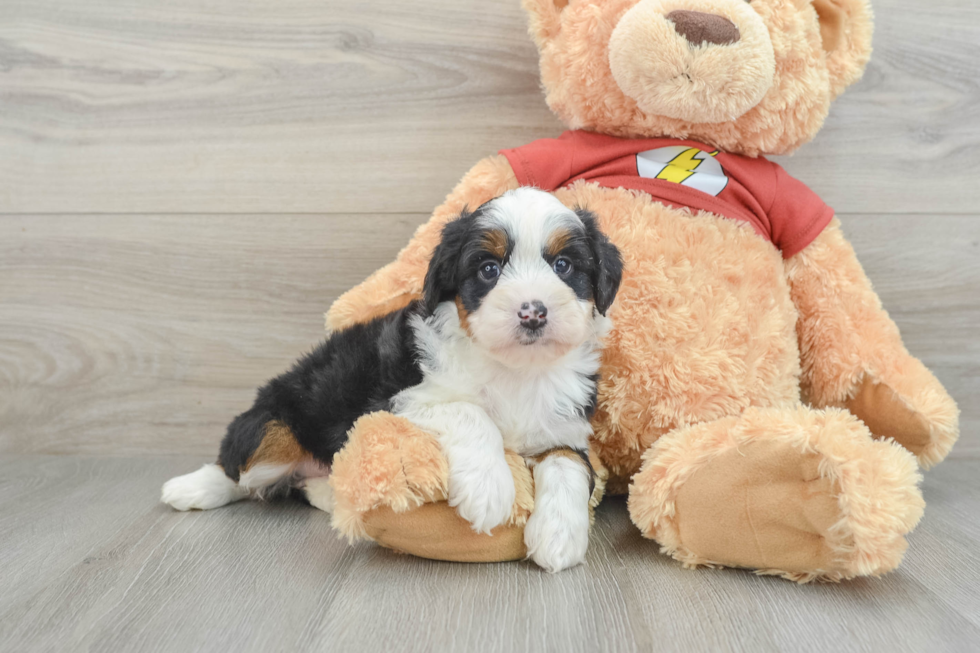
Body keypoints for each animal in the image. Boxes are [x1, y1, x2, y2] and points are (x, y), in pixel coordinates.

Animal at [161, 187, 620, 572]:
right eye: (489, 269)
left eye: (564, 265)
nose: (533, 312)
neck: (516, 370)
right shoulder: (397, 398)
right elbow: (469, 410)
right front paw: (489, 490)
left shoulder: (565, 427)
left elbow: (568, 465)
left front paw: (559, 536)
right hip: (275, 423)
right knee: (239, 467)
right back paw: (189, 488)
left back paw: (328, 492)